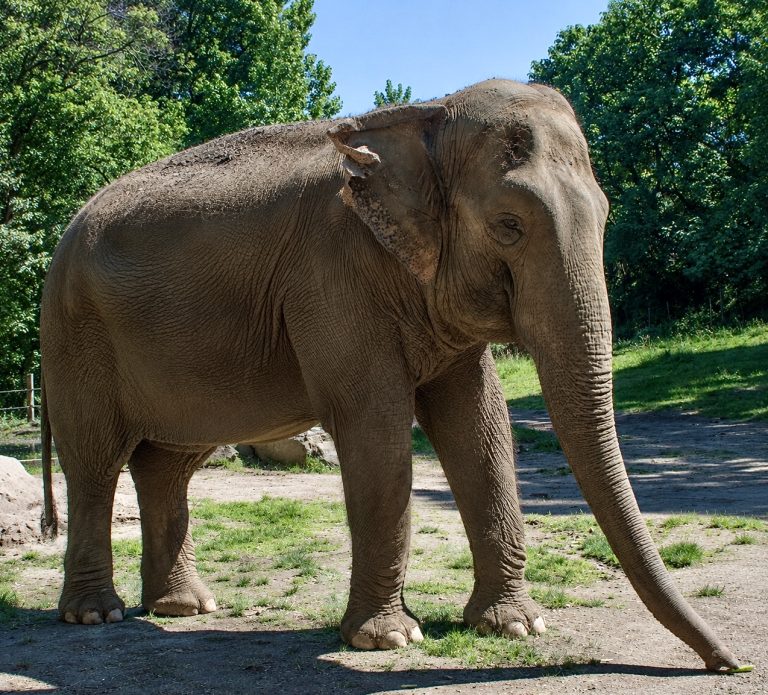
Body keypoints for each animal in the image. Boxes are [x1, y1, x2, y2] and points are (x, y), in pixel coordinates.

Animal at [39, 79, 743, 671]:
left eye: (604, 216)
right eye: (508, 226)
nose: (727, 663)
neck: (424, 116)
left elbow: (479, 423)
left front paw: (516, 627)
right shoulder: (330, 276)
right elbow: (375, 425)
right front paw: (390, 640)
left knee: (169, 463)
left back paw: (185, 608)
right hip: (76, 336)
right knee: (96, 463)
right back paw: (97, 616)